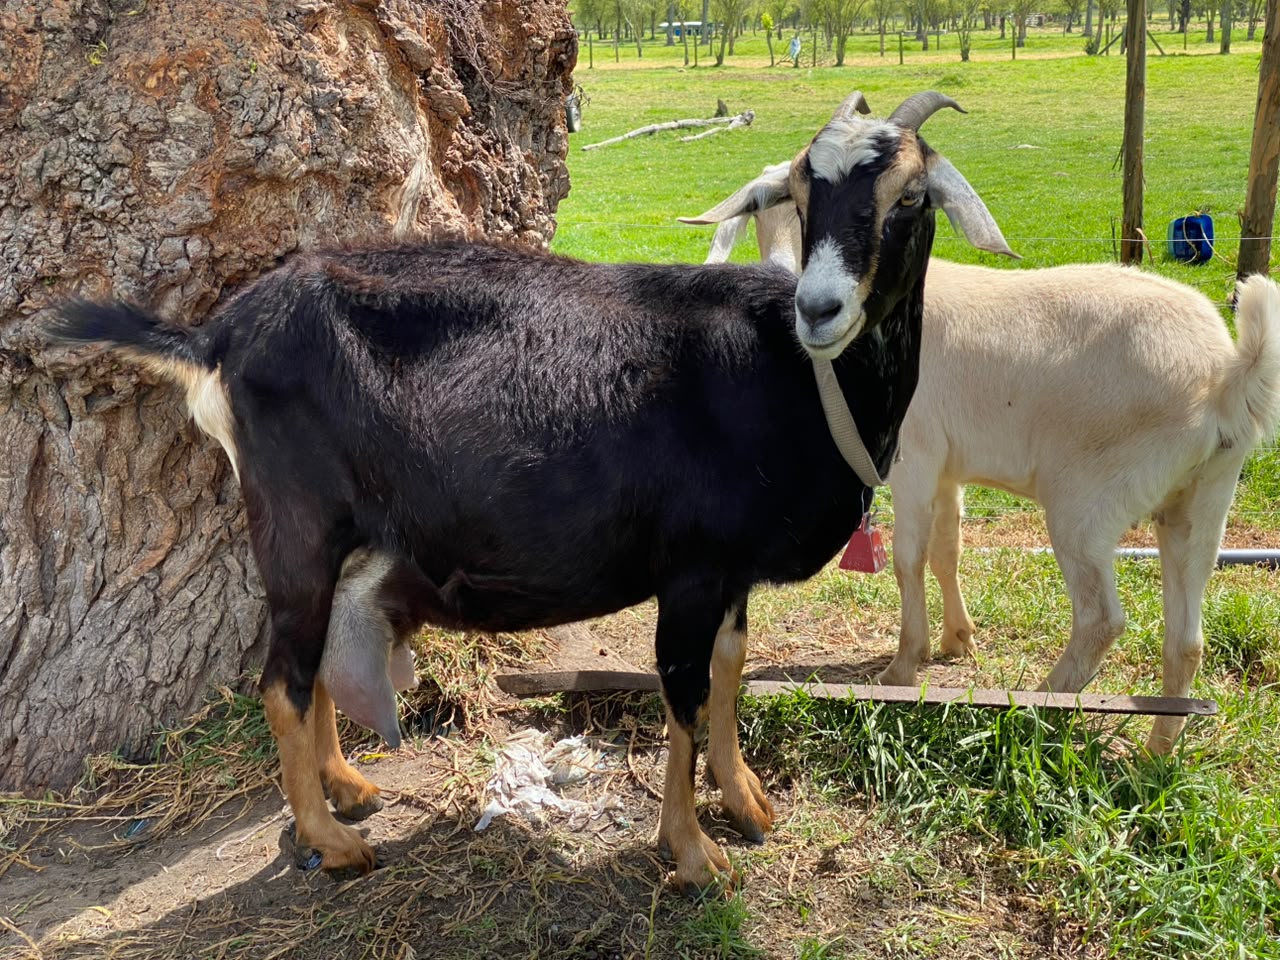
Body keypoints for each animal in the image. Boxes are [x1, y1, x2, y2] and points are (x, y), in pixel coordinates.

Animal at [45, 90, 1012, 889]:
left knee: (306, 658)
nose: (819, 308)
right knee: (281, 678)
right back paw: (332, 840)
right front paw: (692, 853)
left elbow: (731, 671)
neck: (791, 376)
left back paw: (347, 786)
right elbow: (683, 691)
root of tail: (218, 335)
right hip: (296, 518)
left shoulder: (730, 569)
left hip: (331, 534)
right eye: (804, 194)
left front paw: (745, 801)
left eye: (912, 199)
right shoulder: (691, 567)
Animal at [690, 178, 1280, 754]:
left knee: (1100, 620)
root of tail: (1227, 378)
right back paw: (1155, 754)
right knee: (1187, 640)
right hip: (1203, 497)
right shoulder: (948, 469)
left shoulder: (916, 458)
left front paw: (902, 668)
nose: (810, 301)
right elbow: (946, 552)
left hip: (1089, 497)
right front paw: (956, 640)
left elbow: (907, 559)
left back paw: (1038, 706)